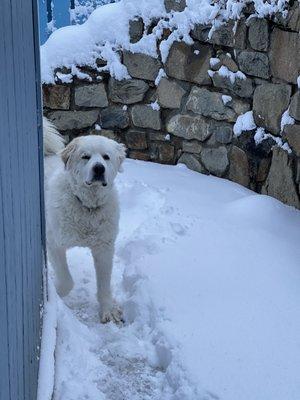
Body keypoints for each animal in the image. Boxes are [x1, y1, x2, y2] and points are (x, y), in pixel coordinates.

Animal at [43, 118, 125, 322]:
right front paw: (56, 294)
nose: (99, 168)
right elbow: (67, 281)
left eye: (106, 157)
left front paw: (108, 310)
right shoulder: (54, 243)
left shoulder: (104, 248)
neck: (87, 206)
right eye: (85, 157)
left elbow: (104, 285)